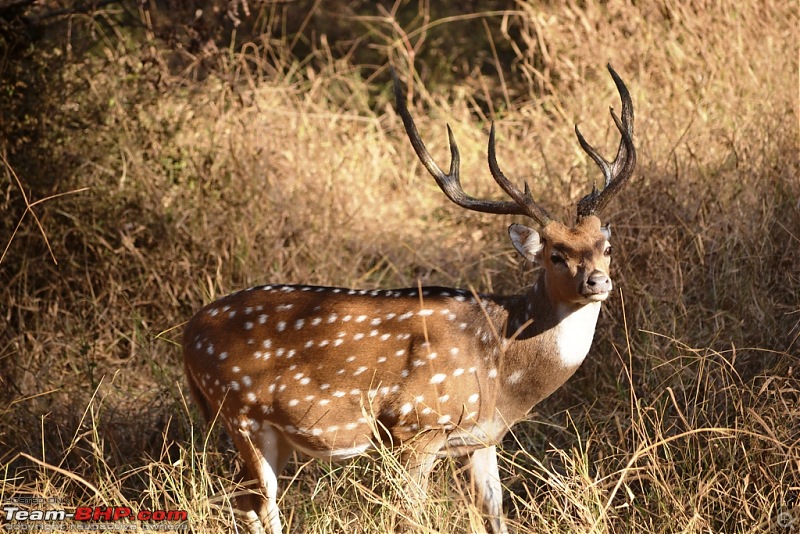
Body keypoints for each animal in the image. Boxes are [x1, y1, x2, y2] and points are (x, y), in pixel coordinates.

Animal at [183, 65, 636, 532]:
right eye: (555, 255)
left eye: (606, 247)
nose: (597, 282)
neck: (502, 368)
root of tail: (188, 334)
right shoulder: (416, 425)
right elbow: (411, 515)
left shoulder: (482, 437)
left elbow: (495, 515)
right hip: (241, 413)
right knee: (258, 503)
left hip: (270, 431)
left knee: (244, 501)